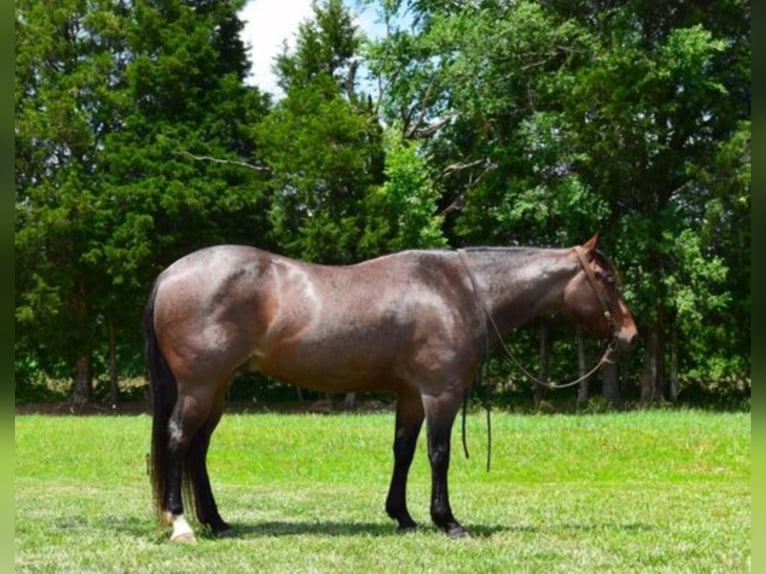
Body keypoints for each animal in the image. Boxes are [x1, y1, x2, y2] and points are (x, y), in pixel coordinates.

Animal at [144, 232, 636, 544]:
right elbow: (439, 454)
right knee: (178, 440)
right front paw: (447, 521)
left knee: (197, 449)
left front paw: (402, 516)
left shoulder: (410, 395)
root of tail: (169, 274)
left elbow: (403, 451)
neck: (460, 291)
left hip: (217, 391)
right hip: (200, 386)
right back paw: (182, 524)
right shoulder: (440, 393)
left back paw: (217, 521)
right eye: (608, 280)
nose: (630, 335)